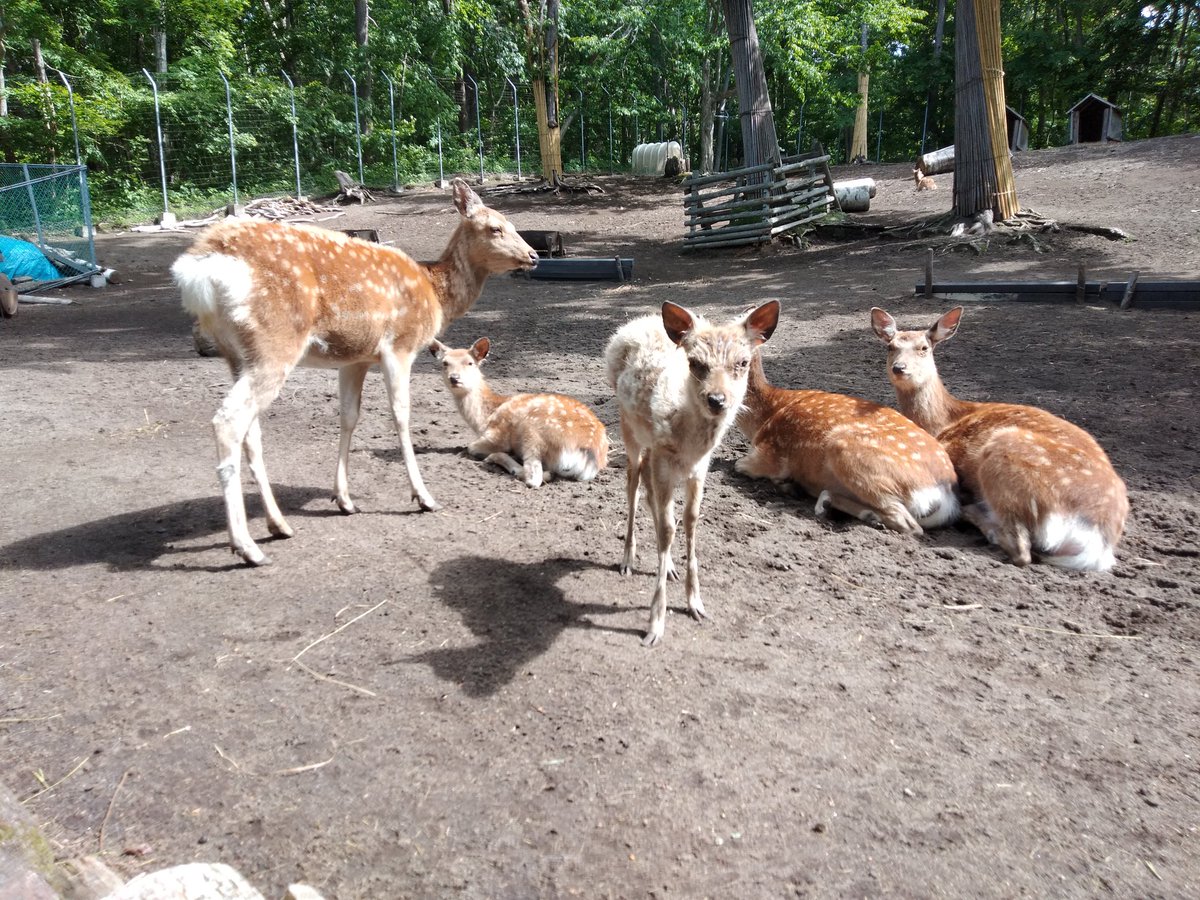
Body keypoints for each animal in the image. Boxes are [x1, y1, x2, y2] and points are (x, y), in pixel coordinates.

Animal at [172, 178, 538, 565]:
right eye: (495, 228)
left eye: (514, 224)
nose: (534, 255)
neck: (434, 293)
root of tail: (198, 269)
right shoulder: (399, 346)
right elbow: (401, 415)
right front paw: (423, 497)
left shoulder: (355, 359)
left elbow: (348, 417)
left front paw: (344, 499)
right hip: (274, 342)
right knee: (228, 421)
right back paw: (246, 547)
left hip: (236, 355)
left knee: (250, 431)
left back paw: (278, 525)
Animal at [428, 337, 609, 487]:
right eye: (444, 363)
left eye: (470, 363)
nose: (454, 378)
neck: (484, 419)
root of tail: (589, 459)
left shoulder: (496, 436)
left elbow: (471, 447)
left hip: (533, 432)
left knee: (535, 478)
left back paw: (498, 459)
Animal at [605, 300, 780, 647]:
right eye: (695, 362)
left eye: (743, 362)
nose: (717, 400)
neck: (688, 445)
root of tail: (633, 326)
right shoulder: (664, 460)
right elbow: (667, 528)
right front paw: (655, 625)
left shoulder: (699, 469)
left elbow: (690, 521)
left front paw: (695, 604)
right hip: (630, 430)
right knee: (633, 483)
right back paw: (627, 560)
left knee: (649, 494)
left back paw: (669, 565)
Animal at [735, 350, 959, 533]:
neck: (765, 415)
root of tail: (945, 491)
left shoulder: (768, 454)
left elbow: (741, 466)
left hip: (848, 451)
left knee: (908, 524)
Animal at [871, 306, 1129, 571]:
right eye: (890, 346)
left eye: (924, 347)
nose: (900, 368)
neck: (941, 423)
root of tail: (1097, 543)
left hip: (1006, 455)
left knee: (1020, 548)